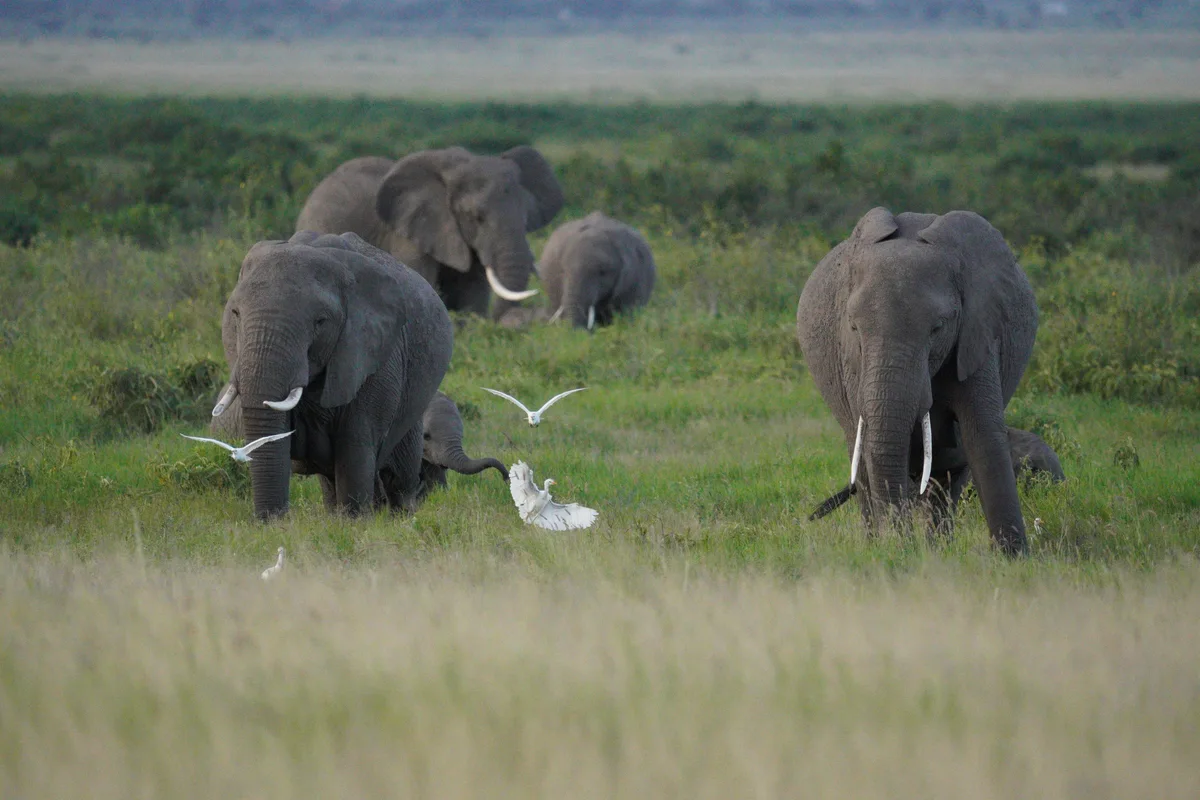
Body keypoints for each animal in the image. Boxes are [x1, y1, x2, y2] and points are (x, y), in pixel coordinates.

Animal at [211, 230, 453, 519]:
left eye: (320, 322)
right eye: (235, 314)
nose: (271, 523)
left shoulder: (376, 355)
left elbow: (354, 449)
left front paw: (354, 523)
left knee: (399, 477)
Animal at [796, 207, 1038, 556]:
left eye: (937, 328)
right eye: (854, 327)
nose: (900, 544)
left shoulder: (977, 333)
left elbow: (982, 437)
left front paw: (1014, 558)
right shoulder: (852, 358)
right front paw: (893, 550)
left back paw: (937, 548)